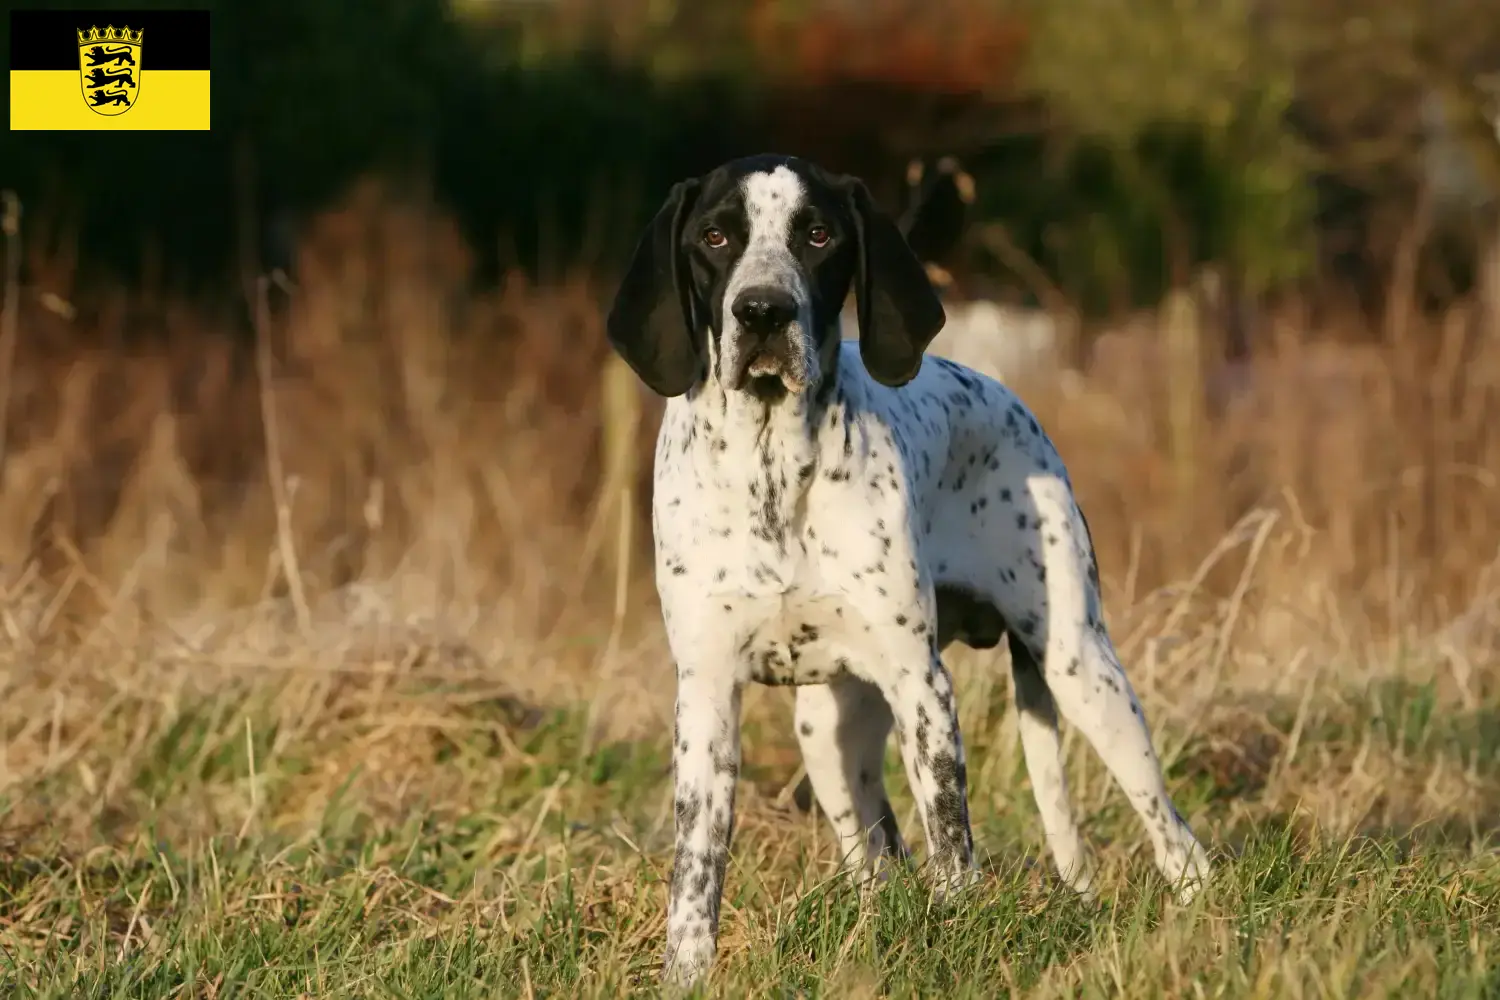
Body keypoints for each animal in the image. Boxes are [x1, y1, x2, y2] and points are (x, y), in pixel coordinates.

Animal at [603, 154, 1212, 983]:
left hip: (1085, 675)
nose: (762, 312)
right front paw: (687, 976)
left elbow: (951, 843)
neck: (773, 471)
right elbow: (696, 871)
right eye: (715, 237)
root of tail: (1007, 394)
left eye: (818, 235)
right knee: (880, 861)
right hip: (826, 734)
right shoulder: (705, 699)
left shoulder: (922, 687)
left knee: (1176, 841)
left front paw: (957, 943)